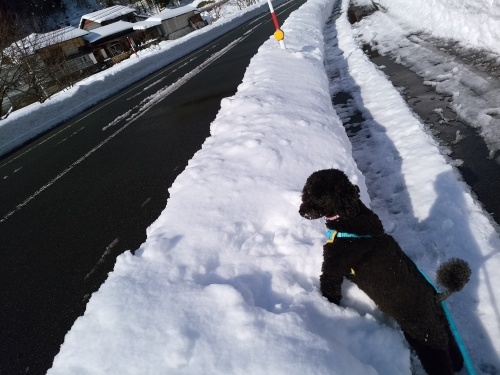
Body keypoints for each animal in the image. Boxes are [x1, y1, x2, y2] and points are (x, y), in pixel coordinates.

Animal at [300, 170, 472, 375]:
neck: (350, 219)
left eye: (322, 197)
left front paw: (327, 307)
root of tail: (435, 299)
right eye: (307, 191)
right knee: (453, 349)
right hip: (442, 327)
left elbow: (329, 288)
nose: (302, 211)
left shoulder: (333, 268)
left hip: (426, 338)